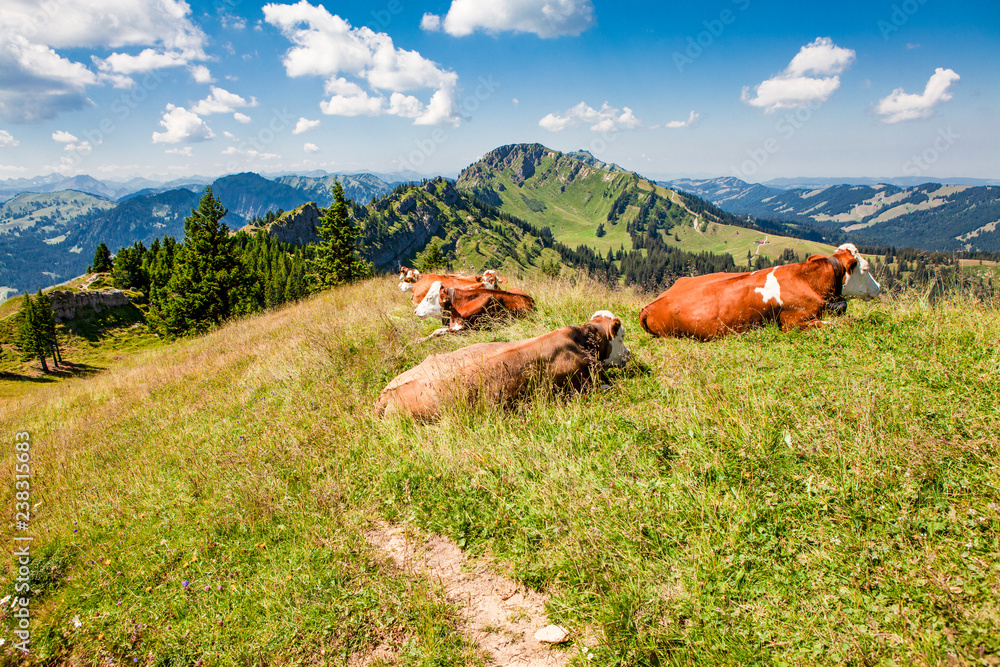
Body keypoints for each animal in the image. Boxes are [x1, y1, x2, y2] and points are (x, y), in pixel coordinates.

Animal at [639, 243, 880, 340]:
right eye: (866, 268)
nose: (878, 288)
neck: (806, 279)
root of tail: (648, 307)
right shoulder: (793, 323)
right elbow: (841, 323)